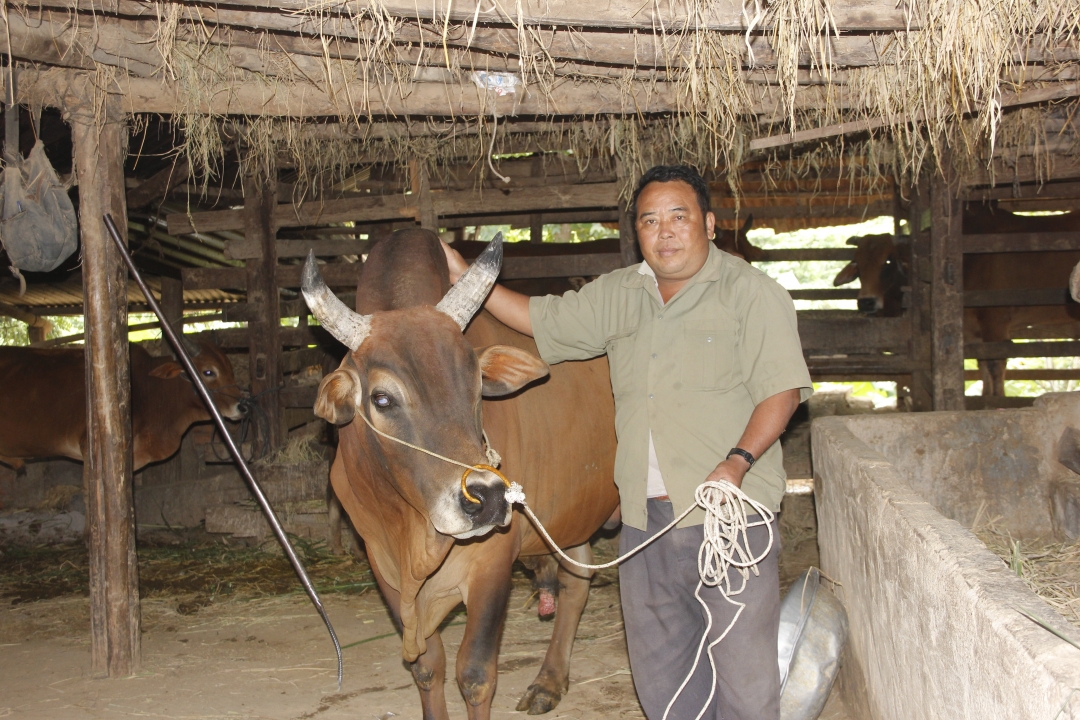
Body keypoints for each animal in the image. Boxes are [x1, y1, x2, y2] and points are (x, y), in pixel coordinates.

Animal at [304, 232, 622, 720]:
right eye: (381, 399)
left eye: (476, 386)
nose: (487, 498)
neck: (414, 531)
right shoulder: (382, 562)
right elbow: (427, 667)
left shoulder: (493, 563)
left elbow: (474, 673)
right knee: (576, 583)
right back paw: (549, 682)